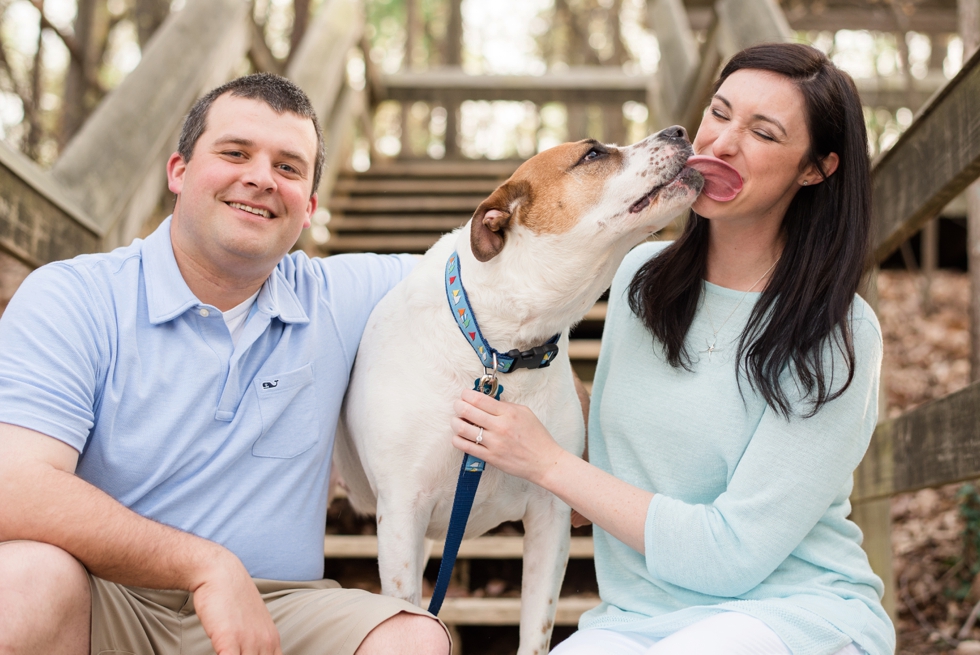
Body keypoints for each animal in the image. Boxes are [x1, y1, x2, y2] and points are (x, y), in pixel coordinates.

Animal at [336, 125, 704, 652]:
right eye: (593, 154)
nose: (678, 131)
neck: (500, 350)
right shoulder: (402, 513)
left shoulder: (551, 518)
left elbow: (536, 630)